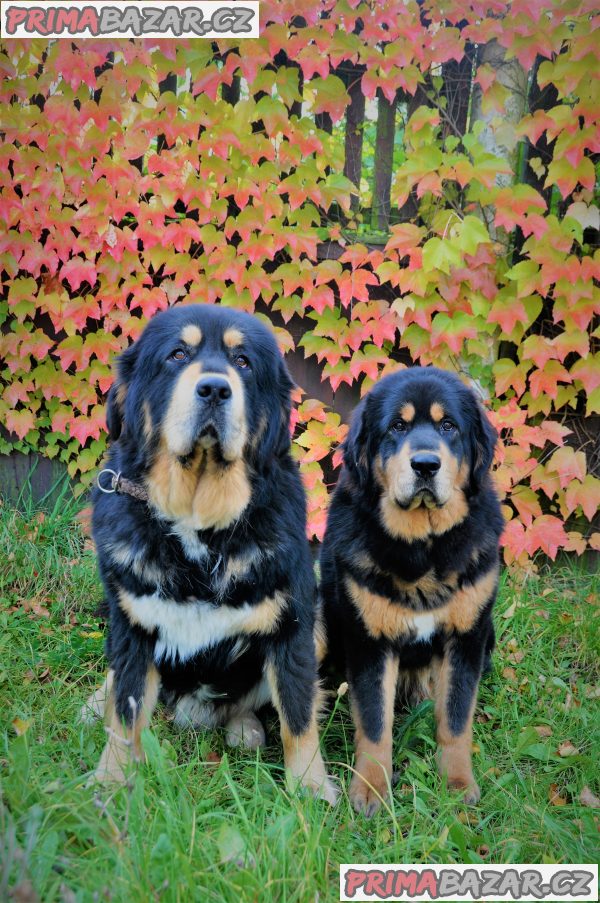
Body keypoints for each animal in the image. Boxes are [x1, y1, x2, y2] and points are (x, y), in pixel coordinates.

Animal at [84, 306, 338, 804]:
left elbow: (298, 716)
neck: (198, 526)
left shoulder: (293, 625)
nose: (215, 388)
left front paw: (310, 788)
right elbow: (125, 712)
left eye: (243, 362)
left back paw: (245, 729)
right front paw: (111, 781)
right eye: (177, 355)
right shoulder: (133, 626)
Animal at [322, 364, 504, 816]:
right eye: (397, 427)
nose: (425, 464)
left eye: (448, 426)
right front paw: (371, 790)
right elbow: (374, 724)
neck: (423, 548)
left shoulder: (466, 639)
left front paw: (457, 785)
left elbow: (455, 719)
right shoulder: (370, 641)